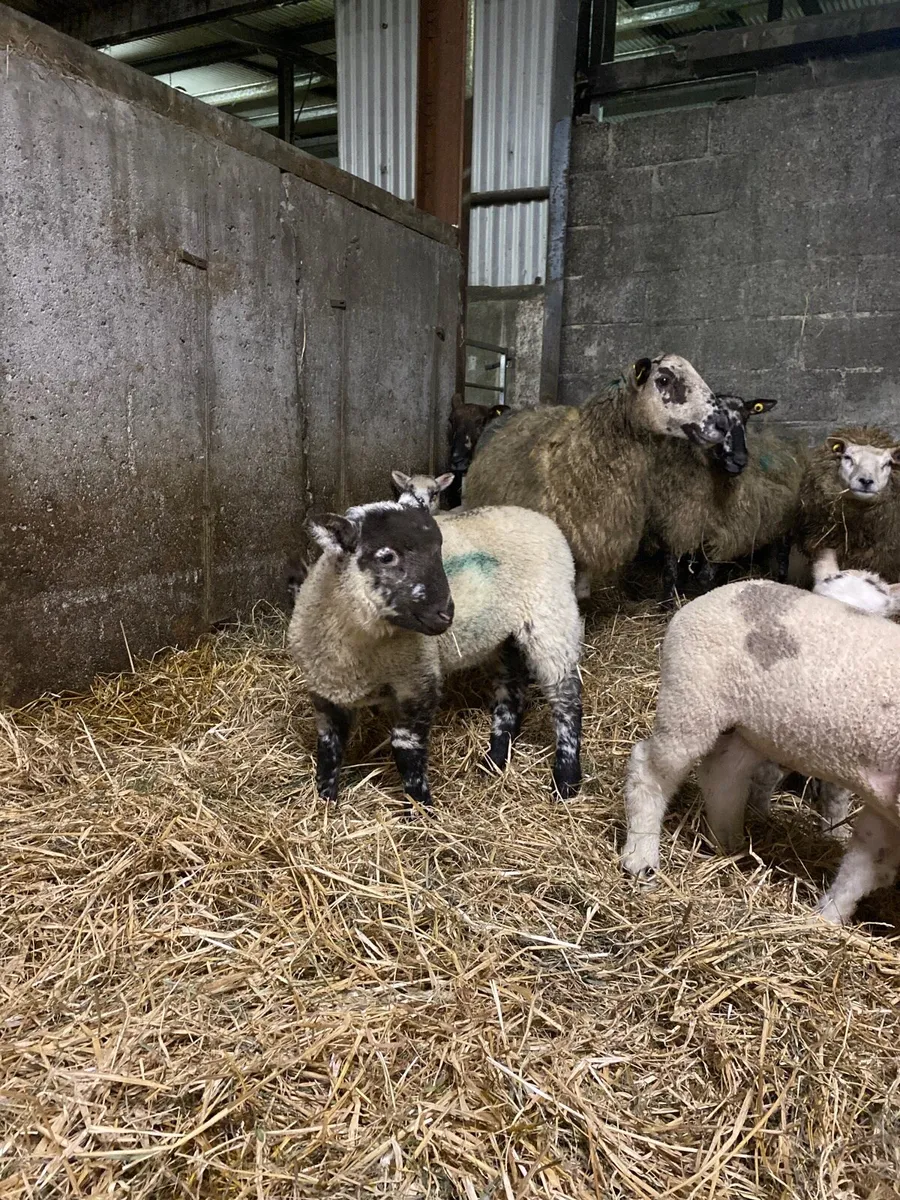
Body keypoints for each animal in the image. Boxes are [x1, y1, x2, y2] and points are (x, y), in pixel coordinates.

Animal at [287, 497, 583, 811]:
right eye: (386, 556)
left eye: (440, 547)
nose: (446, 613)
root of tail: (537, 517)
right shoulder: (326, 689)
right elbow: (329, 744)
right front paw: (324, 799)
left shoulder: (418, 679)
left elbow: (405, 745)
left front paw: (419, 808)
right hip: (504, 638)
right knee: (511, 692)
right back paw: (495, 759)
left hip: (552, 619)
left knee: (566, 701)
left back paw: (566, 781)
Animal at [620, 578, 900, 923]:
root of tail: (719, 593)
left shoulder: (887, 804)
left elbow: (864, 867)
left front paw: (826, 919)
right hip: (691, 696)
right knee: (650, 770)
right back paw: (641, 858)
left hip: (751, 729)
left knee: (722, 774)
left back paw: (729, 843)